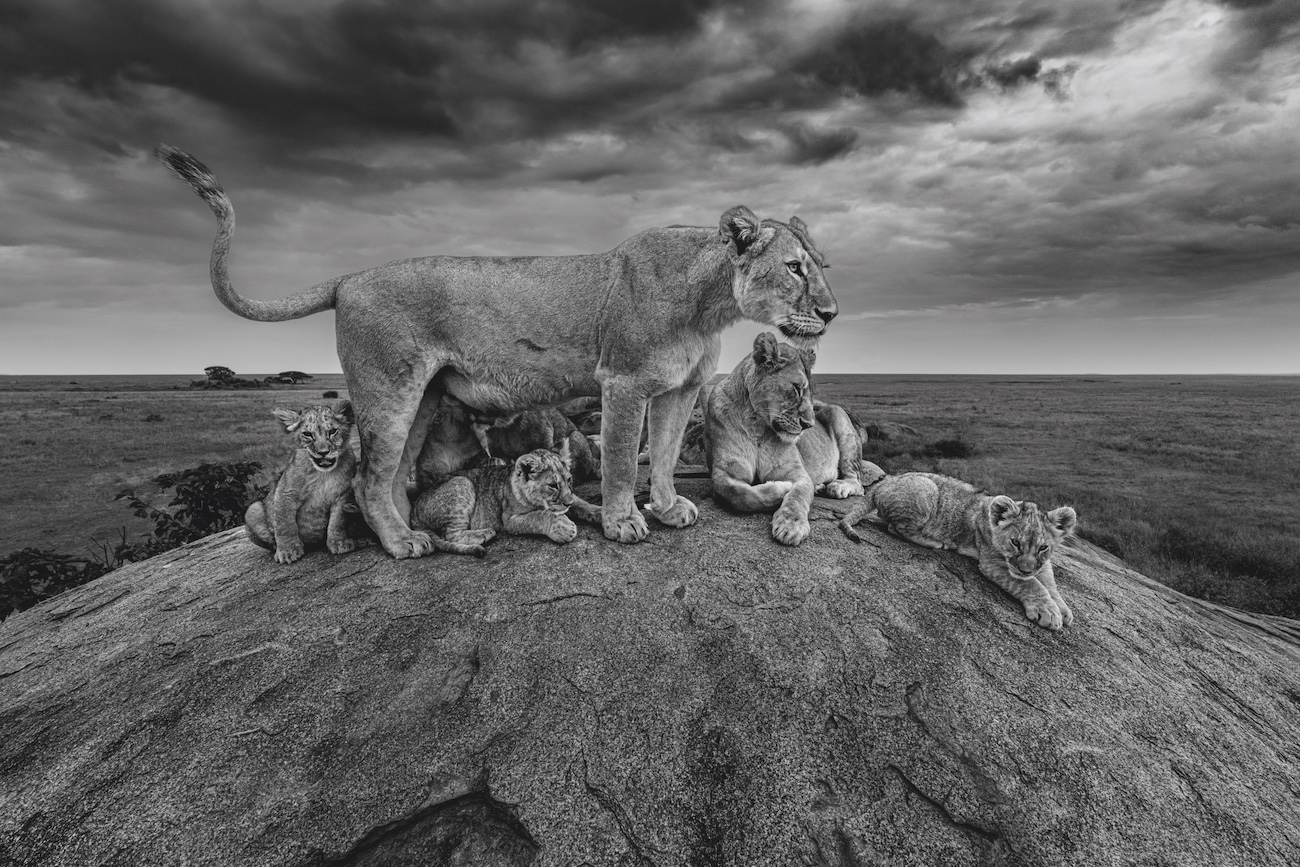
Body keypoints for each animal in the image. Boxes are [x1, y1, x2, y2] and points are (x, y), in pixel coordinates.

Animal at [157, 146, 838, 558]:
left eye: (822, 266)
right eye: (795, 268)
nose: (832, 314)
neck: (709, 304)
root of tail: (348, 278)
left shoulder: (680, 388)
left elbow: (667, 455)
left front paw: (670, 508)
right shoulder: (621, 382)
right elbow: (624, 460)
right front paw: (623, 522)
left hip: (425, 398)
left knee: (398, 476)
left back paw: (420, 530)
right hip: (388, 392)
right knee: (371, 477)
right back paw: (403, 544)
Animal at [704, 332, 865, 546]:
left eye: (812, 393)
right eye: (796, 388)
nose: (809, 424)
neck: (757, 425)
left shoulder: (798, 473)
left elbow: (797, 496)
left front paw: (791, 525)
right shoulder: (723, 472)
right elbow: (738, 494)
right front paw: (781, 488)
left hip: (837, 414)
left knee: (858, 482)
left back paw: (838, 487)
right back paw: (820, 487)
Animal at [840, 464, 1078, 631]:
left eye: (1043, 547)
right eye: (1015, 542)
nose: (1025, 569)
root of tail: (882, 484)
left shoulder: (1042, 563)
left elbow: (1048, 580)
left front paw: (1062, 608)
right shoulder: (991, 562)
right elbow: (1030, 584)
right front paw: (1048, 612)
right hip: (926, 490)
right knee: (894, 527)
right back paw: (936, 541)